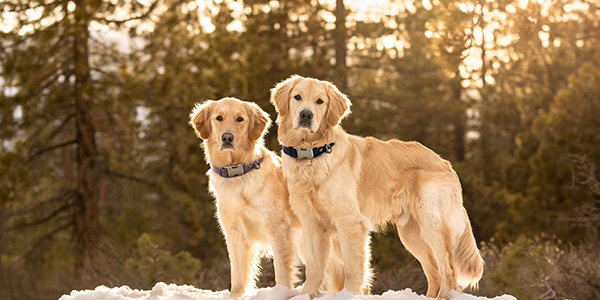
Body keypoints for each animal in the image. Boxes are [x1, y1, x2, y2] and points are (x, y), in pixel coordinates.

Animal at [189, 98, 298, 298]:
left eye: (240, 119)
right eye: (219, 118)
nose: (227, 137)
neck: (237, 174)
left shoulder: (277, 227)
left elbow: (281, 270)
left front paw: (281, 293)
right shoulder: (234, 230)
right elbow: (238, 273)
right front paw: (236, 296)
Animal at [270, 75, 486, 298]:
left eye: (319, 101)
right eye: (297, 97)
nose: (306, 114)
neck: (312, 153)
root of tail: (444, 162)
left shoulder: (350, 223)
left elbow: (352, 267)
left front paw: (350, 294)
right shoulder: (312, 224)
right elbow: (314, 267)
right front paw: (308, 293)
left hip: (431, 221)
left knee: (448, 268)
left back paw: (444, 295)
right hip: (411, 233)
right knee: (434, 271)